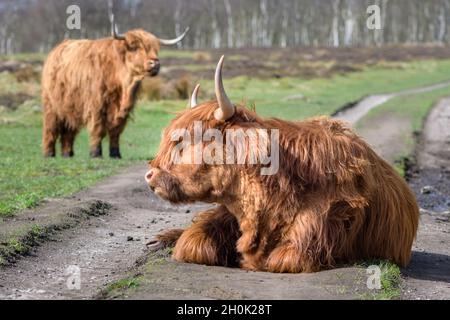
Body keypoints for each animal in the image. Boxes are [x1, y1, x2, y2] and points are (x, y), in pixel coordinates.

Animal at [41, 13, 188, 158]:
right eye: (134, 47)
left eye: (155, 49)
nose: (155, 63)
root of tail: (57, 49)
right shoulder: (96, 105)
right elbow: (98, 128)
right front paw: (96, 153)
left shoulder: (123, 109)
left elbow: (116, 130)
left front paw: (115, 153)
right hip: (51, 105)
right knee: (50, 127)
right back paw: (49, 153)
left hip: (70, 106)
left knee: (69, 129)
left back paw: (67, 153)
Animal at [146, 56, 420, 272]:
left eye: (191, 139)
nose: (150, 175)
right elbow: (192, 242)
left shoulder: (310, 237)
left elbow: (277, 259)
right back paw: (158, 239)